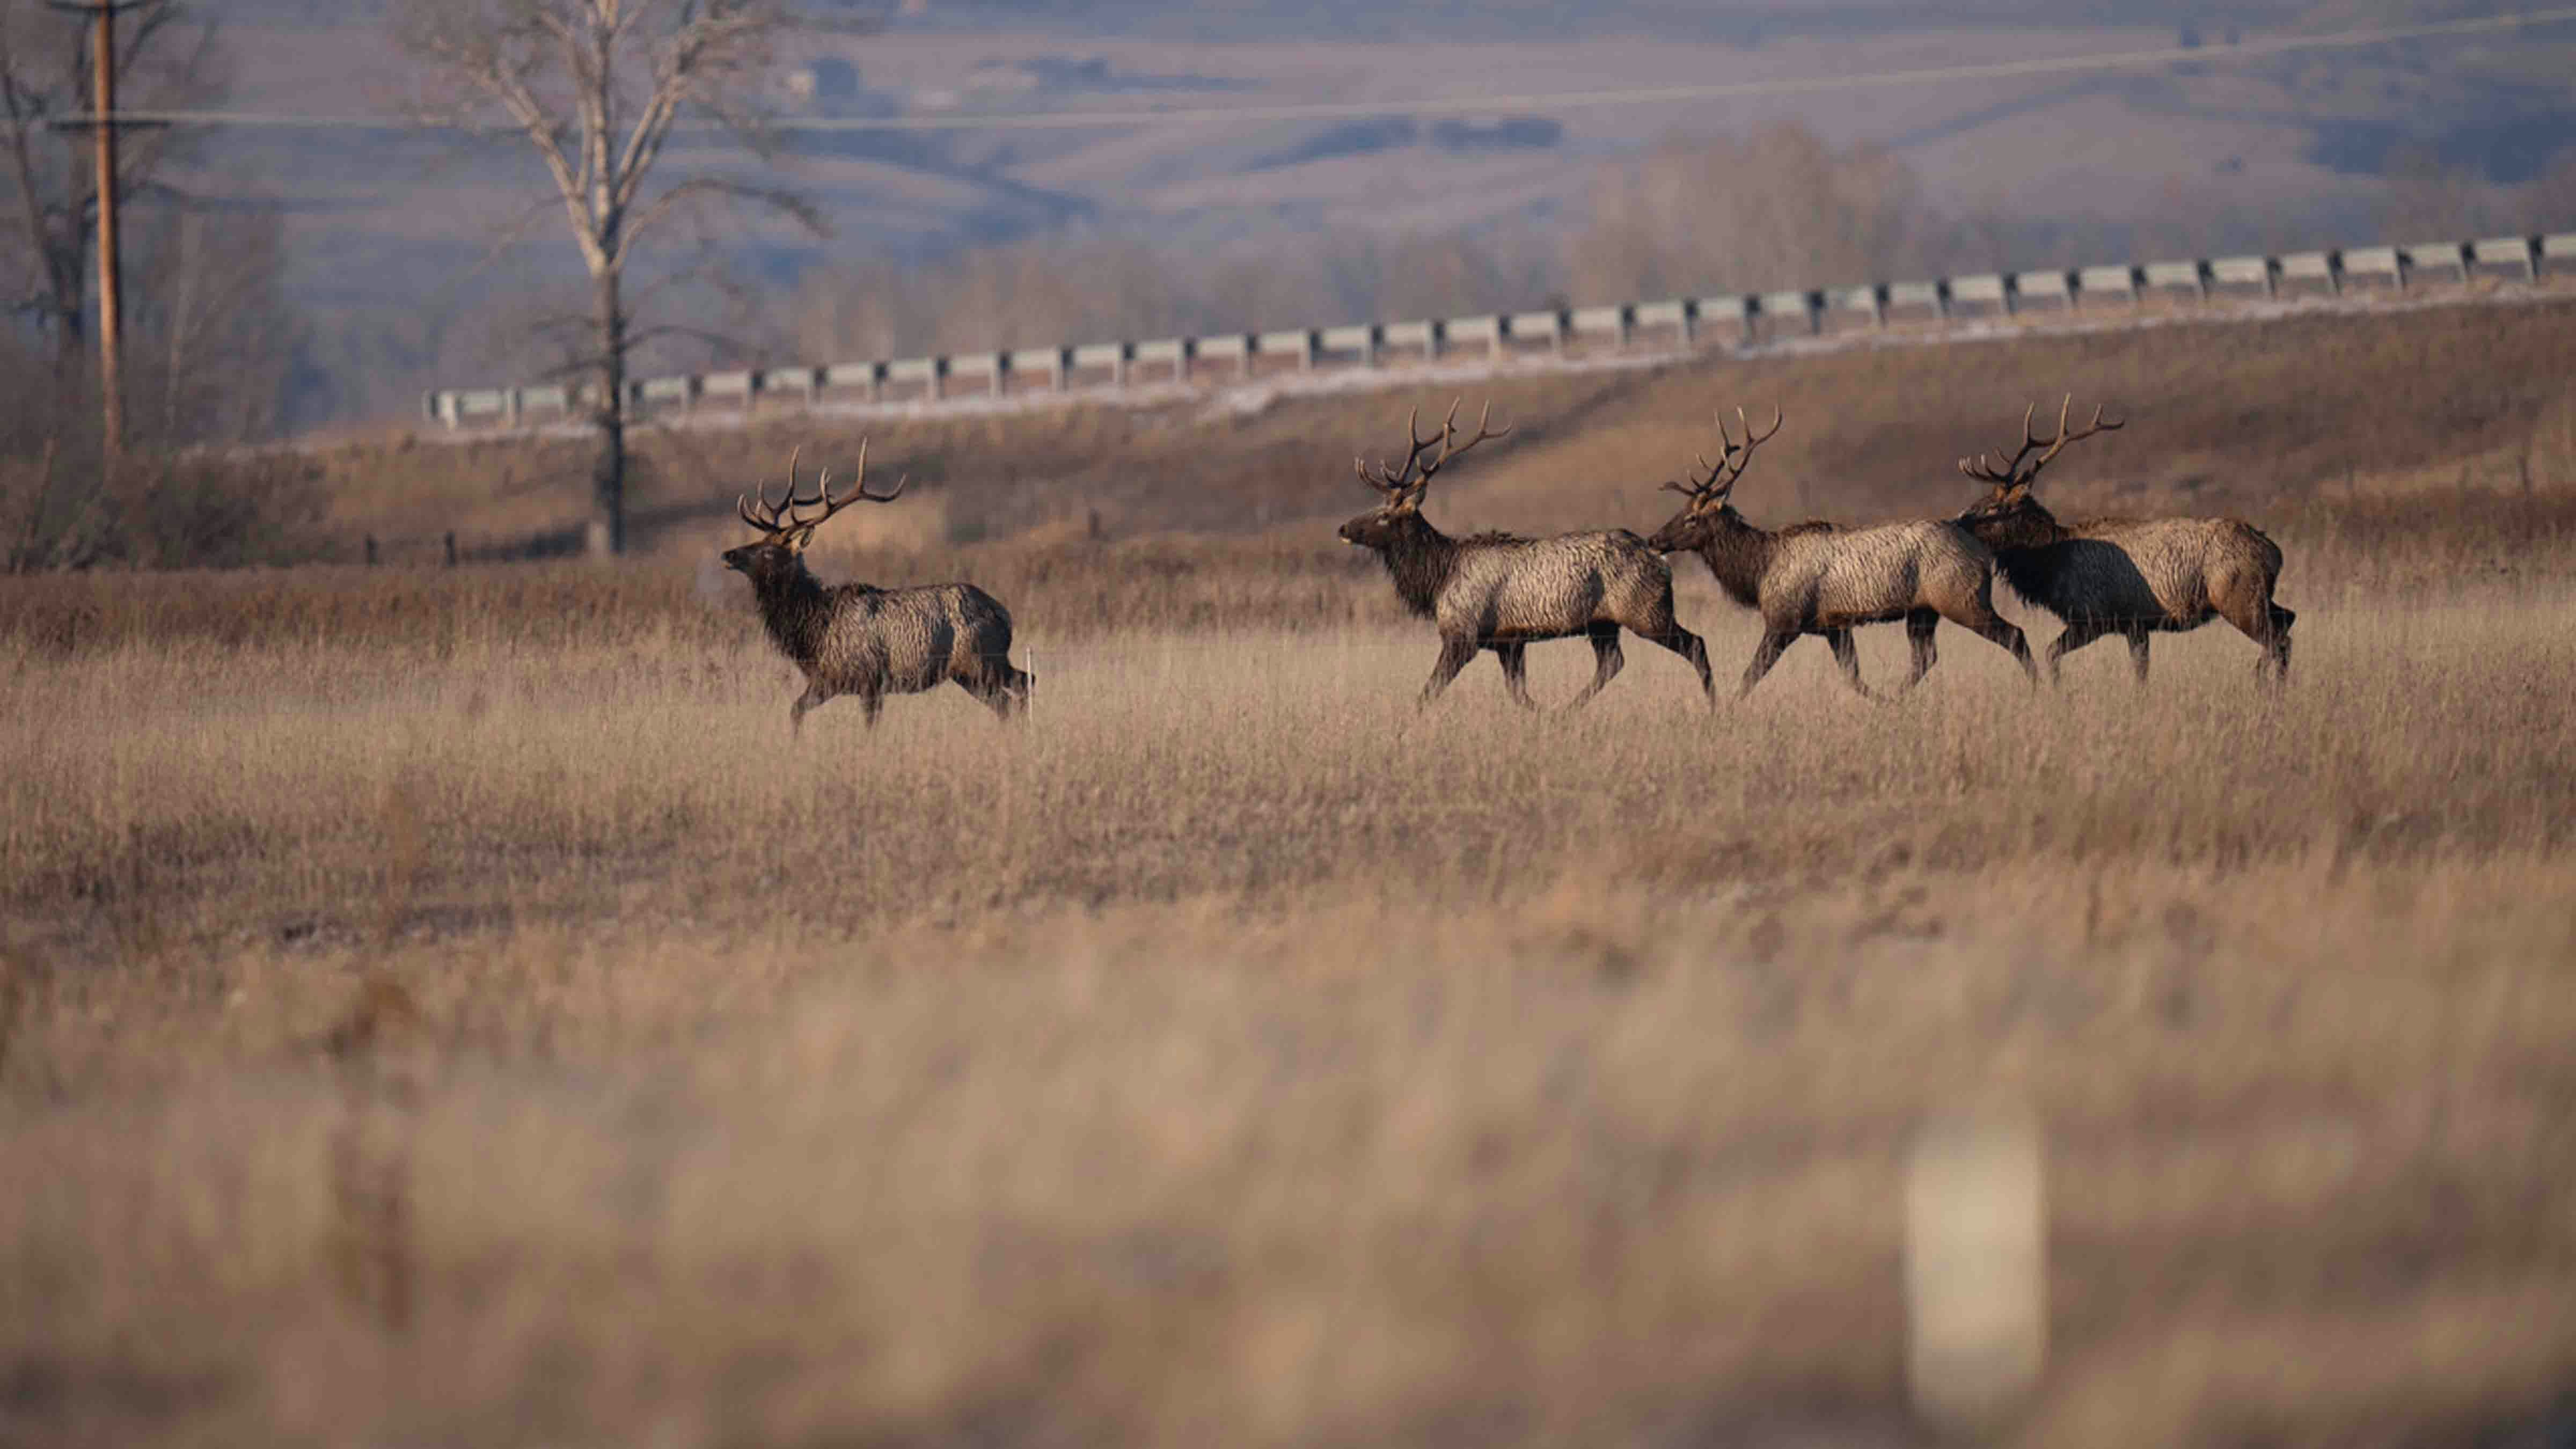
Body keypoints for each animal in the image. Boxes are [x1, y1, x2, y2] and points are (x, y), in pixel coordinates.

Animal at [721, 443, 1033, 733]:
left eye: (768, 552)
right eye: (760, 540)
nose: (728, 554)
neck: (811, 630)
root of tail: (1004, 615)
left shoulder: (869, 680)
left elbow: (869, 727)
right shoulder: (827, 681)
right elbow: (795, 711)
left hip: (981, 662)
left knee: (1016, 692)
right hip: (975, 671)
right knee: (1019, 688)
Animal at [1339, 399, 1716, 711]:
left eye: (1385, 515)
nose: (1343, 528)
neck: (1436, 579)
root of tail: (1662, 562)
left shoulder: (1463, 635)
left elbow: (1428, 692)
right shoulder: (1509, 642)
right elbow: (1519, 694)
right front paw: (1539, 714)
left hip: (1646, 612)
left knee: (1696, 644)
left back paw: (1713, 706)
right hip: (1603, 623)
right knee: (1612, 663)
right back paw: (1567, 710)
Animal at [1645, 407, 2038, 699]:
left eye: (1692, 517)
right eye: (1681, 511)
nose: (1654, 539)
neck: (1758, 572)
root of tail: (1979, 545)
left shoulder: (1784, 621)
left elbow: (1751, 675)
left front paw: (1727, 708)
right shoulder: (1833, 627)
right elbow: (1853, 677)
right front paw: (1877, 702)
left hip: (1961, 598)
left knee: (2015, 635)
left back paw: (2040, 687)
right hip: (1923, 611)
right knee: (1926, 658)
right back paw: (1898, 697)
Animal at [1954, 396, 2295, 685]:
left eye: (1995, 507)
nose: (1958, 521)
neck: (2049, 566)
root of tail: (2275, 552)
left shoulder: (2095, 617)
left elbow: (2052, 653)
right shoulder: (2136, 625)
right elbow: (2140, 672)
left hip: (2237, 597)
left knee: (2280, 638)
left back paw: (2261, 682)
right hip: (2257, 597)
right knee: (2288, 620)